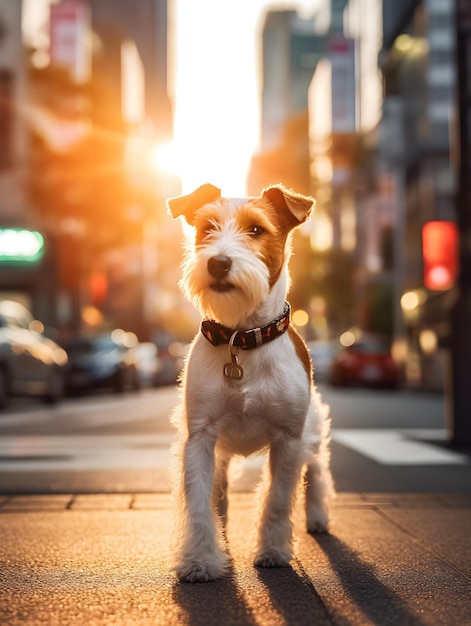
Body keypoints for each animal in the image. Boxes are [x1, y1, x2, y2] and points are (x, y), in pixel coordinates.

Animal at [168, 183, 334, 584]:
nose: (218, 262)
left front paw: (273, 551)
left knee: (318, 470)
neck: (240, 339)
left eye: (256, 229)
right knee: (221, 492)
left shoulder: (288, 438)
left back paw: (318, 517)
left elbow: (276, 499)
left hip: (312, 431)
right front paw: (200, 559)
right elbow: (200, 501)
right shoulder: (200, 437)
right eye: (207, 228)